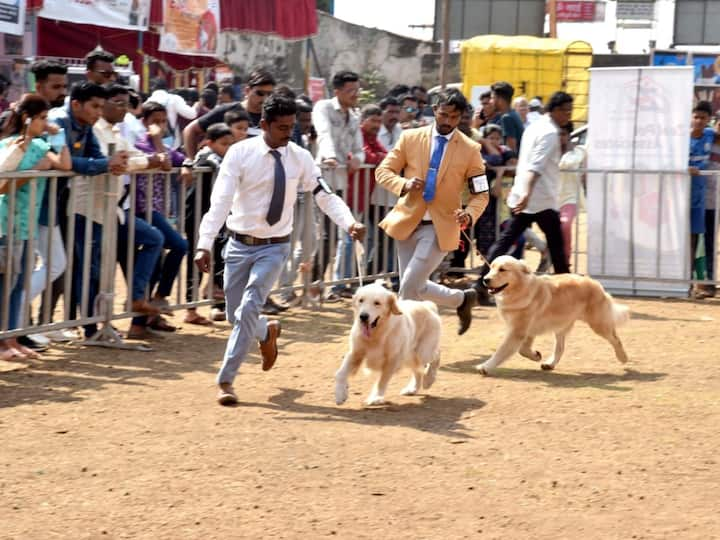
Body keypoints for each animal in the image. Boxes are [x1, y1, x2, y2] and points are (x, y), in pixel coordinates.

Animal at [478, 255, 632, 374]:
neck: (520, 290)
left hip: (598, 324)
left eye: (502, 269)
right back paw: (550, 364)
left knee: (615, 339)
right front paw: (536, 355)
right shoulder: (527, 331)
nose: (485, 279)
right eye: (491, 267)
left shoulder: (517, 332)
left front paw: (485, 367)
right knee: (560, 348)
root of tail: (597, 284)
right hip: (561, 326)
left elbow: (502, 351)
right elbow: (523, 350)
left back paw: (623, 357)